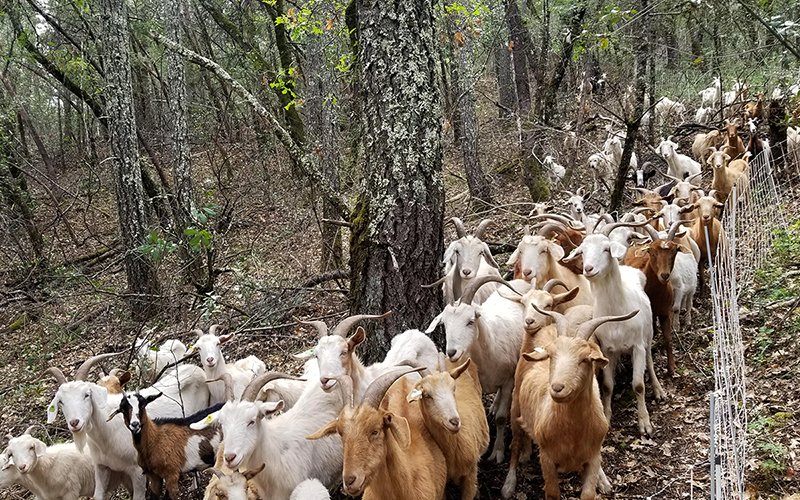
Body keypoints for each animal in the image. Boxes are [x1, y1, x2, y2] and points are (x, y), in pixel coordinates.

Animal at [502, 309, 636, 499]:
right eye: (551, 356)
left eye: (585, 359)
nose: (557, 388)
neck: (573, 434)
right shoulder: (547, 459)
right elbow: (552, 493)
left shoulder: (592, 458)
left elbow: (588, 493)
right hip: (515, 406)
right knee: (515, 444)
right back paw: (509, 484)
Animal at [563, 222, 666, 435]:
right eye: (582, 251)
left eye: (606, 249)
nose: (588, 269)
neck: (617, 313)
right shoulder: (607, 349)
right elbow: (608, 386)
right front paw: (607, 417)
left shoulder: (637, 346)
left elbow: (638, 385)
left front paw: (644, 423)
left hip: (648, 336)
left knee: (650, 361)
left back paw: (659, 390)